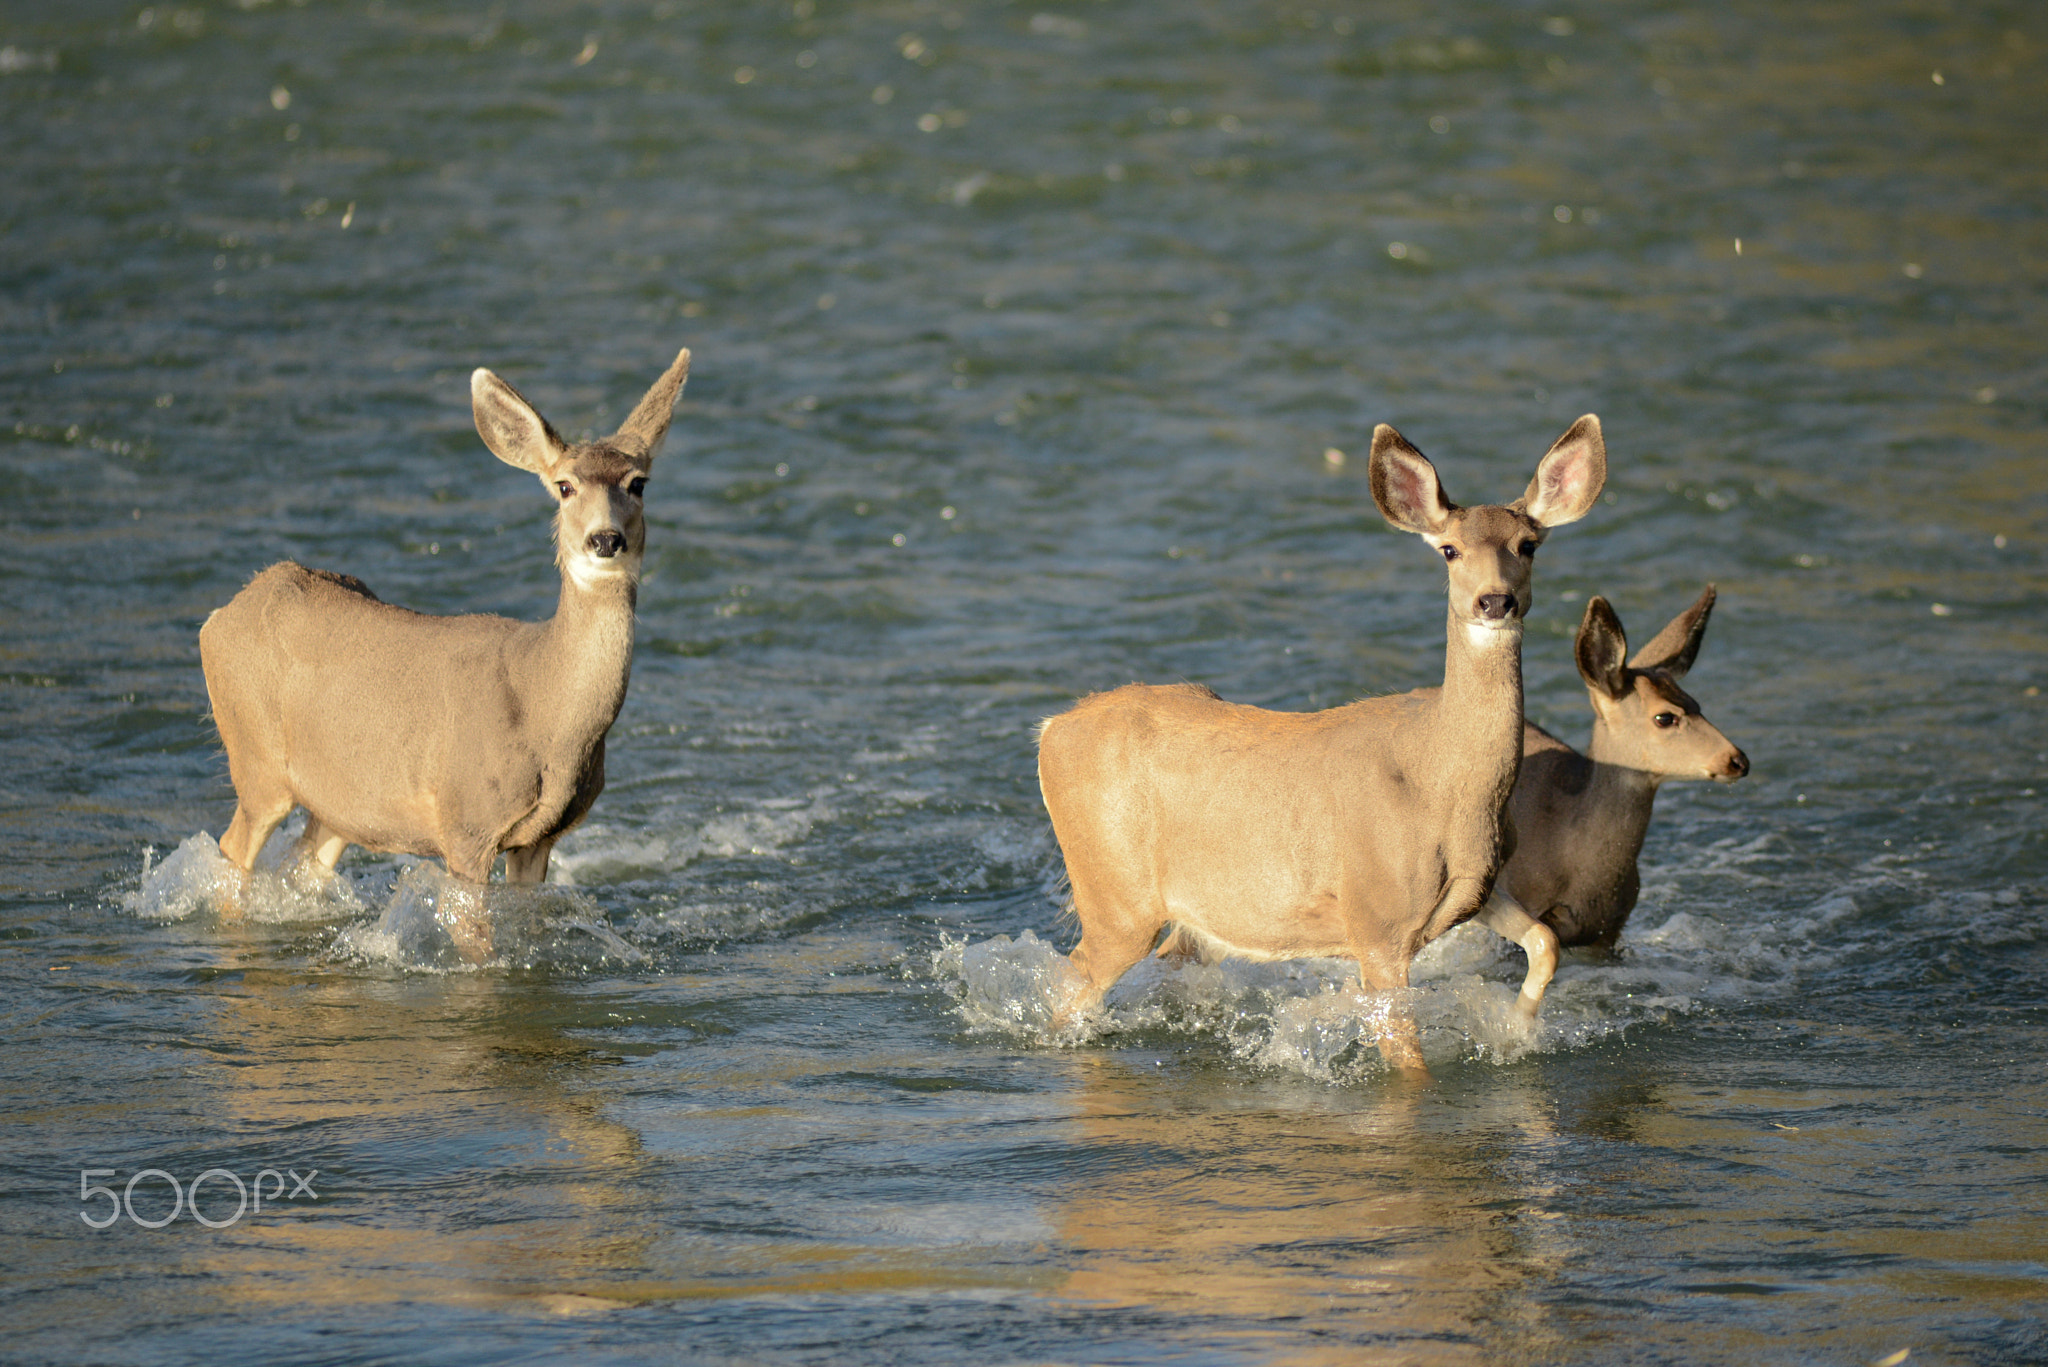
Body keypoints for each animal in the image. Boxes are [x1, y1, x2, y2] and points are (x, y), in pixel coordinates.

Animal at [200, 348, 696, 959]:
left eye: (638, 482)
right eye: (564, 486)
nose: (605, 539)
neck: (546, 707)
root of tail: (223, 613)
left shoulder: (539, 839)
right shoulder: (466, 822)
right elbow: (475, 944)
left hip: (341, 798)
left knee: (304, 860)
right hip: (256, 761)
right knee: (231, 851)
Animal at [1048, 418, 1605, 1082]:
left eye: (1528, 544)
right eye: (1449, 549)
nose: (1495, 601)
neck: (1446, 785)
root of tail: (1051, 729)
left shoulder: (1479, 883)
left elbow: (1546, 943)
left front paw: (1515, 1031)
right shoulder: (1378, 920)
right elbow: (1409, 1062)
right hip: (1115, 894)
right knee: (1070, 986)